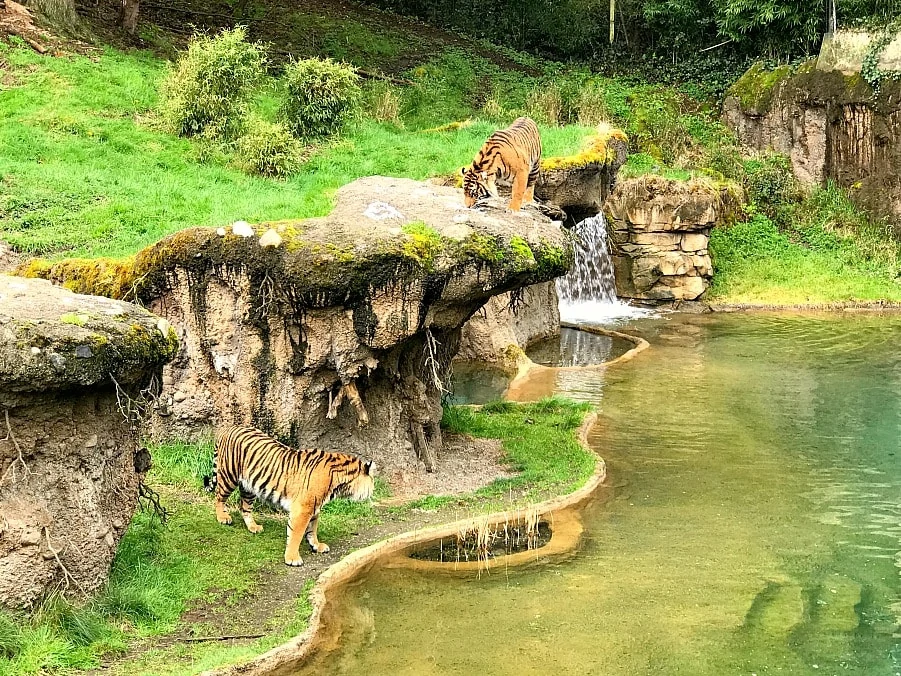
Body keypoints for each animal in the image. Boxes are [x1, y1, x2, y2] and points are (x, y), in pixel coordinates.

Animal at [203, 428, 372, 564]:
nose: (372, 492)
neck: (341, 483)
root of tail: (229, 429)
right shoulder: (303, 509)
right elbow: (296, 534)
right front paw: (292, 558)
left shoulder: (314, 507)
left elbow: (312, 529)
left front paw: (316, 546)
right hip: (228, 476)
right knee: (219, 497)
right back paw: (223, 518)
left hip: (248, 486)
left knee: (244, 507)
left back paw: (253, 527)